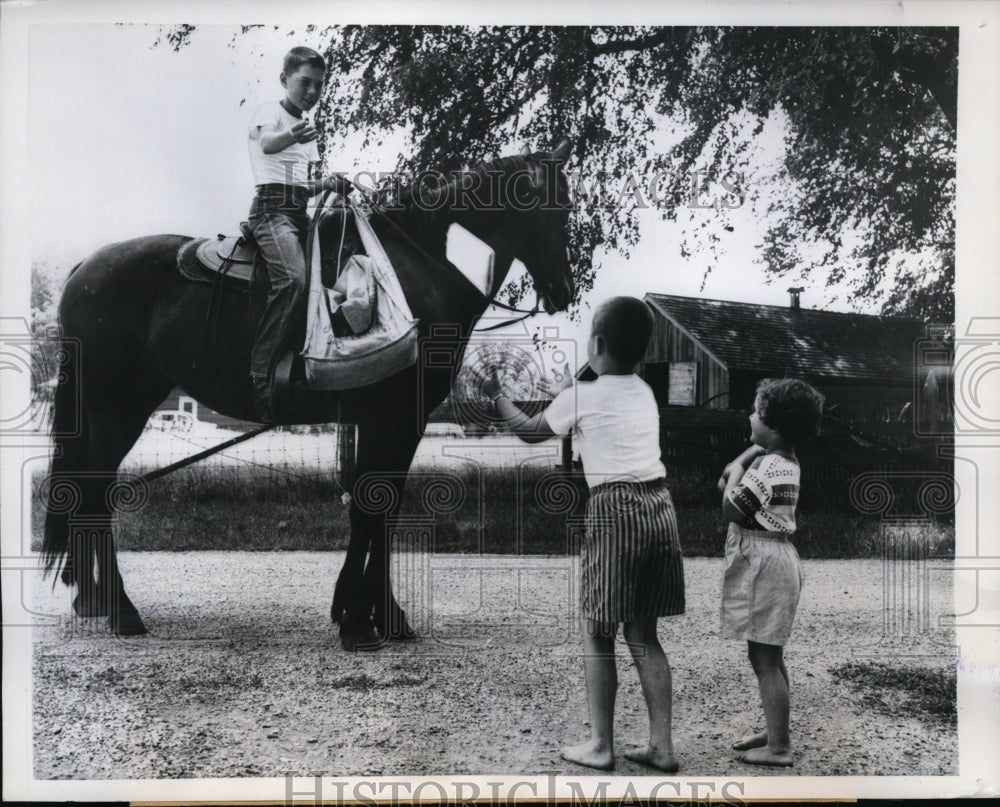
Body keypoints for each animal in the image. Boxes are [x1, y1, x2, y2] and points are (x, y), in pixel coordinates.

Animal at [43, 142, 576, 652]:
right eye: (556, 206)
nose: (564, 291)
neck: (416, 274)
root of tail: (82, 270)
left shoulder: (388, 421)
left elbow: (378, 508)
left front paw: (377, 614)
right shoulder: (395, 417)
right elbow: (374, 509)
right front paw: (361, 621)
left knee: (86, 492)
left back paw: (91, 600)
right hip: (118, 408)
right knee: (95, 493)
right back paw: (121, 611)